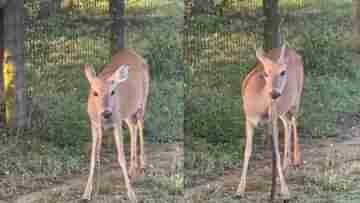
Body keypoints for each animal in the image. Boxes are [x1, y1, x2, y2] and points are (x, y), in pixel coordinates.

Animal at [81, 48, 150, 202]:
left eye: (113, 91)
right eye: (95, 92)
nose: (106, 112)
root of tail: (133, 53)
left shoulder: (116, 122)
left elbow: (121, 157)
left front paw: (131, 194)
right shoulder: (94, 124)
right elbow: (94, 157)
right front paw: (87, 193)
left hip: (142, 101)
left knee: (140, 125)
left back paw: (142, 164)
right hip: (127, 112)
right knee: (133, 127)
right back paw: (132, 169)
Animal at [236, 44, 304, 200]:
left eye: (283, 72)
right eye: (265, 73)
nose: (274, 93)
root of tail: (293, 52)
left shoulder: (271, 120)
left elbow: (276, 154)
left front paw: (285, 190)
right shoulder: (248, 119)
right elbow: (247, 151)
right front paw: (240, 190)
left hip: (297, 97)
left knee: (294, 120)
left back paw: (296, 160)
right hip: (282, 110)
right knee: (287, 123)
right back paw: (286, 165)